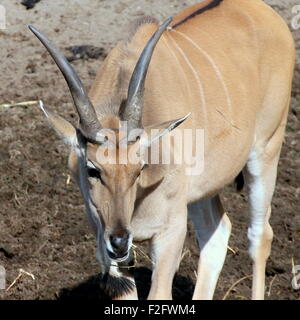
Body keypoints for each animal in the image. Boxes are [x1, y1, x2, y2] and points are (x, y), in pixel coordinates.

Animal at [28, 0, 296, 300]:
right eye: (92, 170)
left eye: (139, 168)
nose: (119, 240)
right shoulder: (105, 238)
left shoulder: (171, 232)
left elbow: (160, 294)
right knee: (217, 231)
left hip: (266, 150)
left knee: (260, 235)